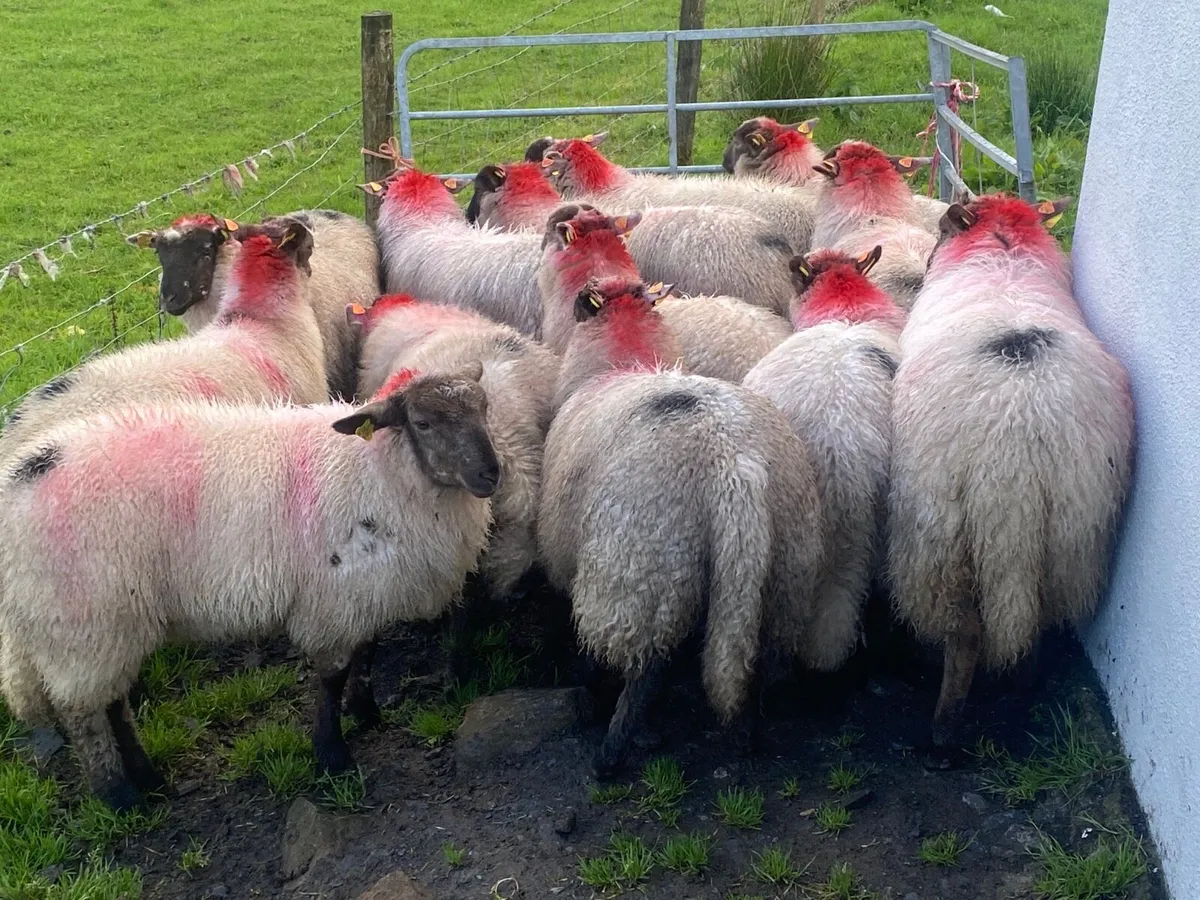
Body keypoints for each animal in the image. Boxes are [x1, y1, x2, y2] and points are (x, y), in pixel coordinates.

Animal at [0, 365, 498, 810]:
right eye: (423, 423)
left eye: (485, 409)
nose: (491, 475)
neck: (376, 470)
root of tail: (19, 480)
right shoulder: (332, 600)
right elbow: (332, 677)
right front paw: (332, 755)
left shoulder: (365, 589)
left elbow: (367, 652)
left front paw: (367, 713)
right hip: (81, 619)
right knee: (83, 712)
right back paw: (120, 797)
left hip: (109, 623)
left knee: (113, 702)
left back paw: (149, 779)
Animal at [539, 276, 828, 773]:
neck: (620, 363)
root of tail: (734, 466)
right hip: (783, 571)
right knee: (752, 658)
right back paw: (744, 735)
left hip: (643, 569)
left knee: (645, 670)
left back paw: (613, 752)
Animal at [888, 194, 1135, 760]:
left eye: (941, 229)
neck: (1005, 256)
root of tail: (1016, 450)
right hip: (1072, 532)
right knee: (1038, 616)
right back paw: (1025, 684)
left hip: (937, 536)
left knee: (965, 634)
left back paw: (942, 729)